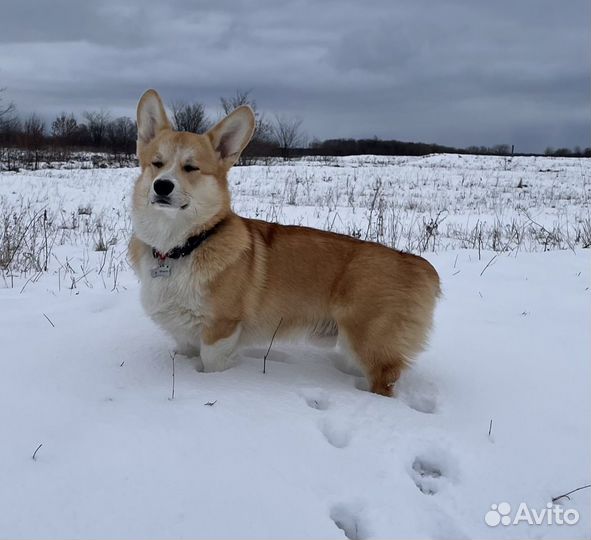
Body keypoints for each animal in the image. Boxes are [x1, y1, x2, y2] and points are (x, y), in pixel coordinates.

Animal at [130, 89, 442, 396]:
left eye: (191, 167)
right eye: (156, 163)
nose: (162, 186)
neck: (178, 246)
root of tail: (418, 264)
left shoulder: (220, 330)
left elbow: (211, 366)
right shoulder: (184, 335)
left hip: (371, 346)